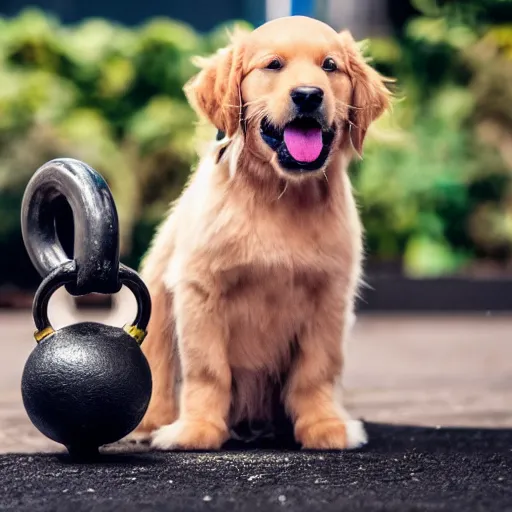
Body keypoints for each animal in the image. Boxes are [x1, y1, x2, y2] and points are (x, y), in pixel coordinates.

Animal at [134, 14, 390, 450]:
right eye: (273, 65)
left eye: (330, 66)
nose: (308, 95)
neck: (279, 192)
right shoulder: (200, 288)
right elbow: (207, 370)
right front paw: (197, 429)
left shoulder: (330, 296)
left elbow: (317, 369)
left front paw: (324, 424)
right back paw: (149, 424)